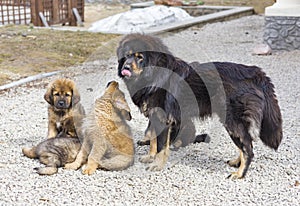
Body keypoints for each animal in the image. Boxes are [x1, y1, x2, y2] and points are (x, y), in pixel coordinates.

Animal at [116, 33, 282, 179]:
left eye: (140, 57)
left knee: (248, 148)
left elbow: (161, 146)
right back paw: (236, 162)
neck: (154, 75)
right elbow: (153, 140)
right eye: (126, 56)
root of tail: (255, 72)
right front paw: (150, 156)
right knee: (245, 144)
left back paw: (240, 174)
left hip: (232, 122)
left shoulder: (164, 119)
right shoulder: (154, 116)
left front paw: (157, 164)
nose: (126, 67)